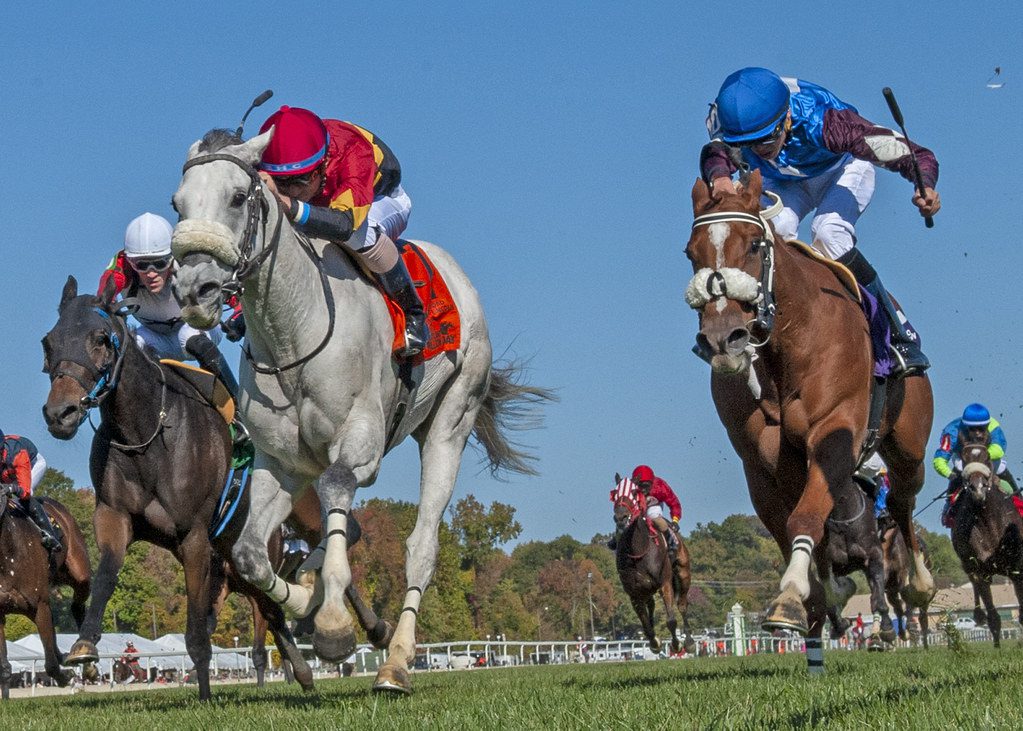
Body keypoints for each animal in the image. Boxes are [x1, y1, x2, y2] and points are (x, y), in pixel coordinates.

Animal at [0, 494, 90, 699]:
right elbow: (4, 667)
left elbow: (50, 665)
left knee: (77, 606)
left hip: (79, 572)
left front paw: (66, 677)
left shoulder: (40, 605)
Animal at [169, 128, 552, 695]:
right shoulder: (278, 464)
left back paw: (395, 664)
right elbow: (250, 554)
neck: (293, 331)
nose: (195, 290)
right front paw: (308, 601)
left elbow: (337, 487)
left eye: (238, 198)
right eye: (178, 204)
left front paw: (331, 625)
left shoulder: (360, 442)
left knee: (421, 546)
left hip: (450, 423)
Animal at [605, 478, 695, 654]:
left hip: (683, 572)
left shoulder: (664, 583)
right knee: (651, 605)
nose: (621, 517)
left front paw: (676, 644)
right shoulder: (633, 592)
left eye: (634, 493)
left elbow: (671, 620)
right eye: (615, 493)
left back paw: (689, 642)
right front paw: (654, 642)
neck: (637, 549)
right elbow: (645, 625)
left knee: (682, 605)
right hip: (647, 588)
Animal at [687, 171, 937, 674]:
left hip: (910, 447)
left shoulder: (834, 430)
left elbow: (807, 514)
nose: (723, 340)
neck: (789, 338)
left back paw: (920, 582)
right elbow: (792, 524)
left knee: (903, 502)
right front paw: (816, 602)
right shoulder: (762, 459)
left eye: (753, 246)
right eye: (691, 252)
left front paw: (789, 598)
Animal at [949, 439, 1023, 646]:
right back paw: (978, 615)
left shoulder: (1017, 568)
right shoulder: (981, 571)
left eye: (987, 457)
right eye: (964, 458)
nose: (978, 488)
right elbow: (994, 617)